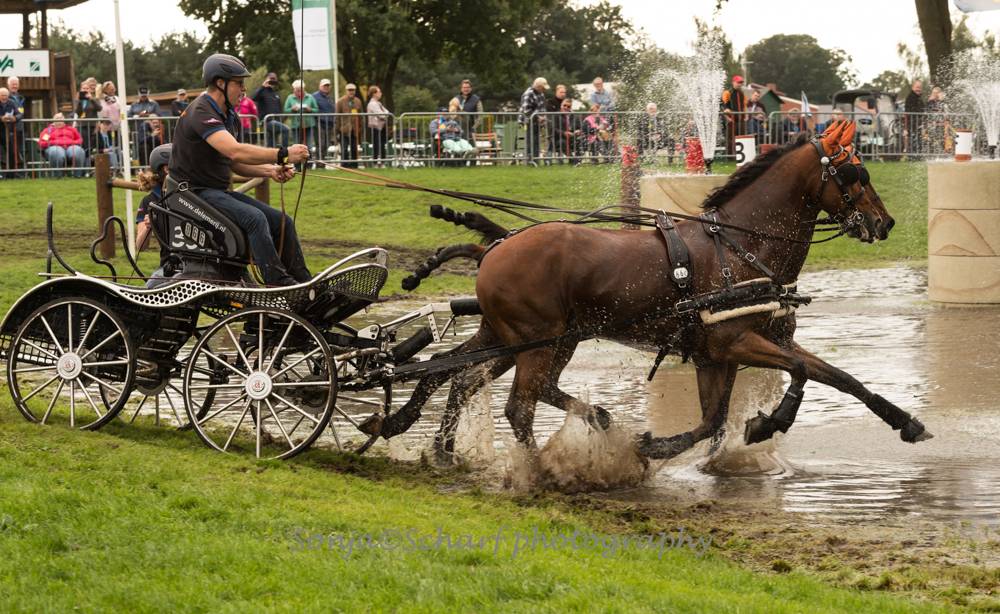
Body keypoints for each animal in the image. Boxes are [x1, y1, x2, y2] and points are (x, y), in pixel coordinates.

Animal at [372, 122, 932, 462]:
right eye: (854, 172)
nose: (884, 222)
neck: (741, 245)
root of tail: (499, 245)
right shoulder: (733, 342)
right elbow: (794, 376)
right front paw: (769, 422)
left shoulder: (726, 352)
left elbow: (836, 380)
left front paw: (905, 421)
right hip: (538, 340)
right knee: (518, 405)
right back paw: (541, 468)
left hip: (520, 336)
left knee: (457, 374)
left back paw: (435, 440)